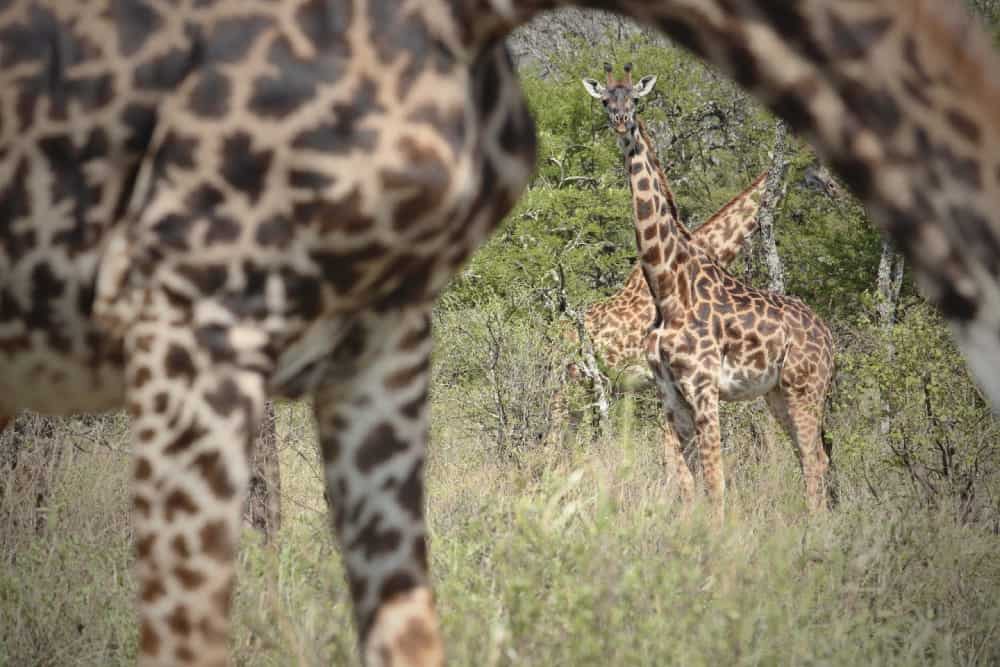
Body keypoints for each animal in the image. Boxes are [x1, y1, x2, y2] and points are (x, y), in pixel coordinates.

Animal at [584, 65, 840, 516]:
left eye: (635, 100)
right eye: (605, 101)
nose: (621, 123)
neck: (667, 287)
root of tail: (829, 337)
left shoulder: (703, 387)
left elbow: (713, 481)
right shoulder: (670, 393)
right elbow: (689, 481)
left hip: (804, 387)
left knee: (813, 459)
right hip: (778, 394)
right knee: (813, 457)